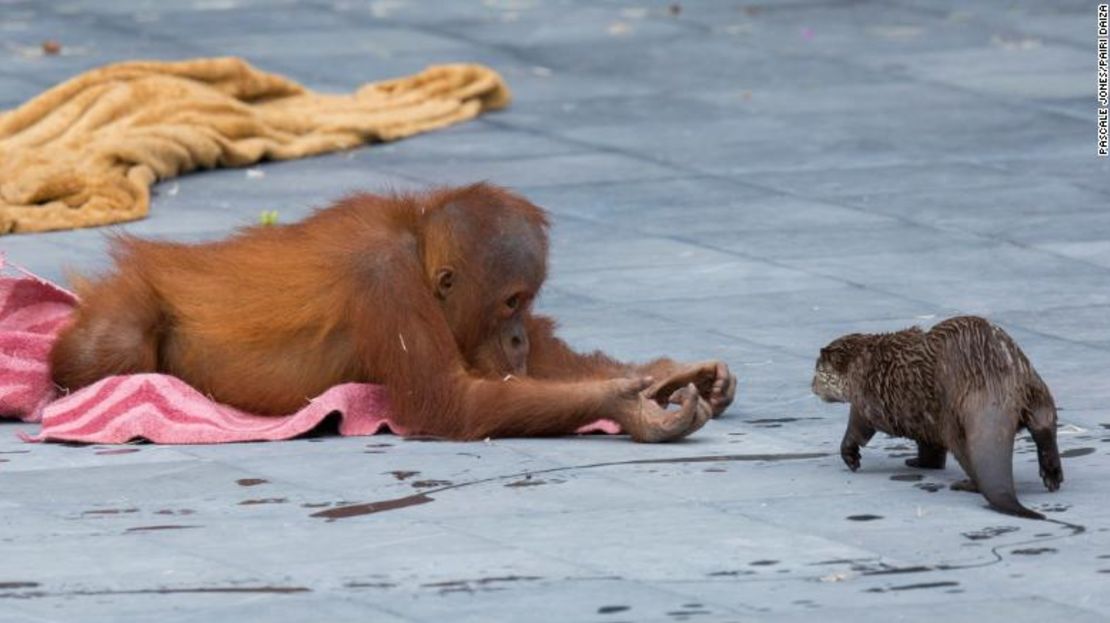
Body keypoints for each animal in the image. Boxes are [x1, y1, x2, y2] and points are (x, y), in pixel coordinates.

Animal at [812, 313, 1061, 517]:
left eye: (817, 370)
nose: (811, 386)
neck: (862, 363)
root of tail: (994, 383)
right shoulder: (922, 416)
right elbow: (929, 447)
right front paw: (920, 463)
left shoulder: (866, 401)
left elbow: (858, 428)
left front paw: (851, 457)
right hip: (1033, 384)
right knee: (1044, 424)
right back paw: (1052, 476)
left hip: (952, 419)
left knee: (967, 455)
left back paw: (965, 484)